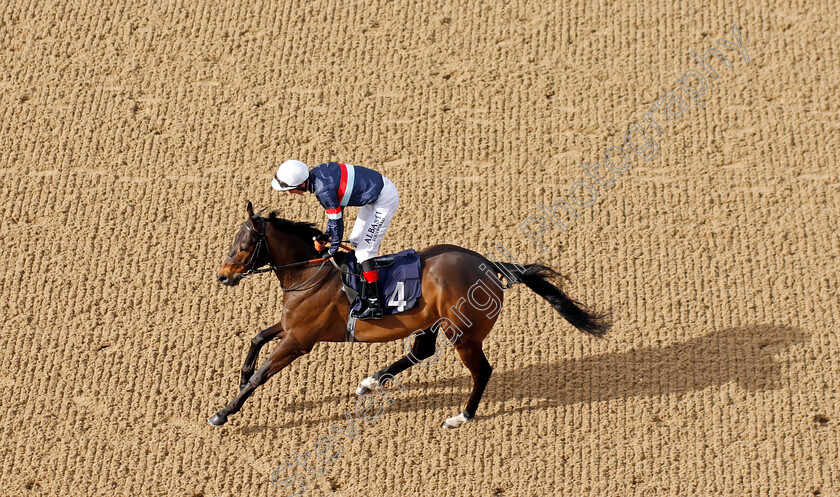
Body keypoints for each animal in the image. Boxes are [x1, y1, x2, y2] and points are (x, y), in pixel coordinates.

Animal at [210, 202, 612, 426]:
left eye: (245, 244)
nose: (223, 275)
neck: (311, 272)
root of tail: (488, 265)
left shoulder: (299, 339)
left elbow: (261, 374)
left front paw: (223, 412)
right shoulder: (291, 327)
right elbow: (257, 339)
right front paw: (239, 375)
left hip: (463, 334)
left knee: (481, 370)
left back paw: (461, 417)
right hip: (432, 322)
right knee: (422, 351)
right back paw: (372, 381)